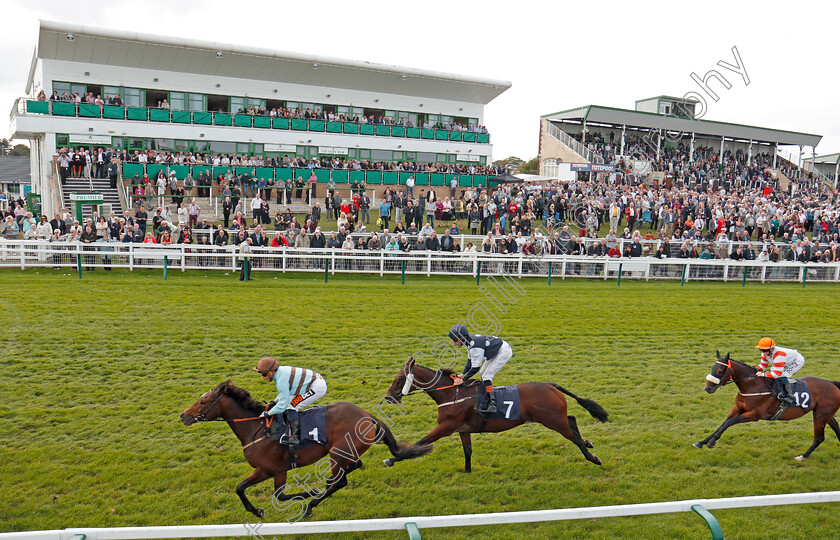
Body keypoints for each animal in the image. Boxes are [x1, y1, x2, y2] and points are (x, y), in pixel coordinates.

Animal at [176, 380, 426, 520]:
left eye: (203, 402)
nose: (183, 415)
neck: (256, 428)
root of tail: (367, 415)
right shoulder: (274, 470)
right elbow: (249, 489)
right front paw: (259, 510)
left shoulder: (270, 469)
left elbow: (268, 493)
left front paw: (306, 494)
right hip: (344, 453)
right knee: (352, 468)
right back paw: (324, 487)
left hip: (337, 453)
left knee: (341, 481)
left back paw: (312, 504)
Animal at [382, 358, 612, 472]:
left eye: (400, 378)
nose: (388, 397)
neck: (452, 394)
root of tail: (550, 385)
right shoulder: (462, 429)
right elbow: (468, 451)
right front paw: (467, 471)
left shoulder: (445, 427)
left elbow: (419, 443)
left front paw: (392, 459)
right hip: (555, 417)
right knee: (572, 420)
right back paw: (589, 443)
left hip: (553, 420)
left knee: (573, 436)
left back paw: (593, 458)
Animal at [692, 350, 840, 460]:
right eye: (712, 368)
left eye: (720, 371)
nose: (707, 388)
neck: (752, 386)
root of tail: (831, 383)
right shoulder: (737, 408)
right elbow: (723, 423)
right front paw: (702, 442)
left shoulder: (754, 415)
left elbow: (729, 422)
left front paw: (711, 442)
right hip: (825, 414)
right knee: (835, 427)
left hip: (820, 415)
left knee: (819, 438)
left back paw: (802, 456)